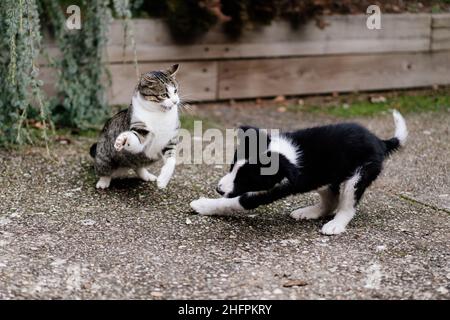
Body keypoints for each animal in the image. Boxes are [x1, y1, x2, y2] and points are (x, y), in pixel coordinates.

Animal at [190, 110, 408, 235]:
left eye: (246, 179)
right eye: (232, 166)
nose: (218, 189)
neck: (283, 153)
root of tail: (381, 141)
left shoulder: (266, 191)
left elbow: (231, 202)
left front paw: (203, 205)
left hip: (358, 176)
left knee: (347, 205)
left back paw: (335, 225)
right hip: (323, 177)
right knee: (330, 200)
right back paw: (308, 212)